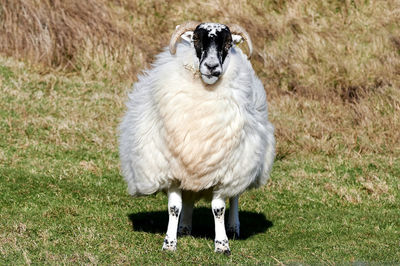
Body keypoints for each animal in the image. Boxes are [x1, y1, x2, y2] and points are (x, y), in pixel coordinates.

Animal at [119, 21, 276, 255]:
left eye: (228, 43)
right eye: (195, 39)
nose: (211, 67)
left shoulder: (223, 170)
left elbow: (218, 209)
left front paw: (222, 244)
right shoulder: (173, 168)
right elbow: (174, 207)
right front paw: (169, 243)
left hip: (244, 161)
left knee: (235, 196)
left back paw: (233, 227)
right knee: (189, 198)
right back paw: (184, 227)